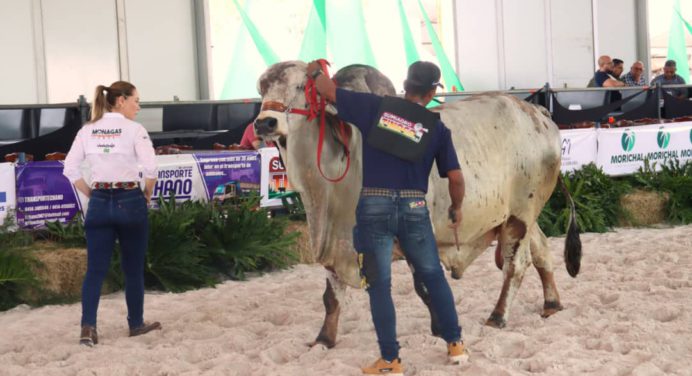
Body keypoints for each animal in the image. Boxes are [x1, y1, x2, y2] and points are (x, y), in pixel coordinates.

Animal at [254, 61, 580, 346]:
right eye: (261, 89)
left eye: (300, 86)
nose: (265, 122)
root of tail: (536, 112)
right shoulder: (336, 243)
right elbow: (331, 297)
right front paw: (324, 339)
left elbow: (423, 286)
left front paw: (440, 329)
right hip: (521, 214)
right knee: (542, 252)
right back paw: (552, 303)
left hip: (520, 214)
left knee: (516, 264)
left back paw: (498, 316)